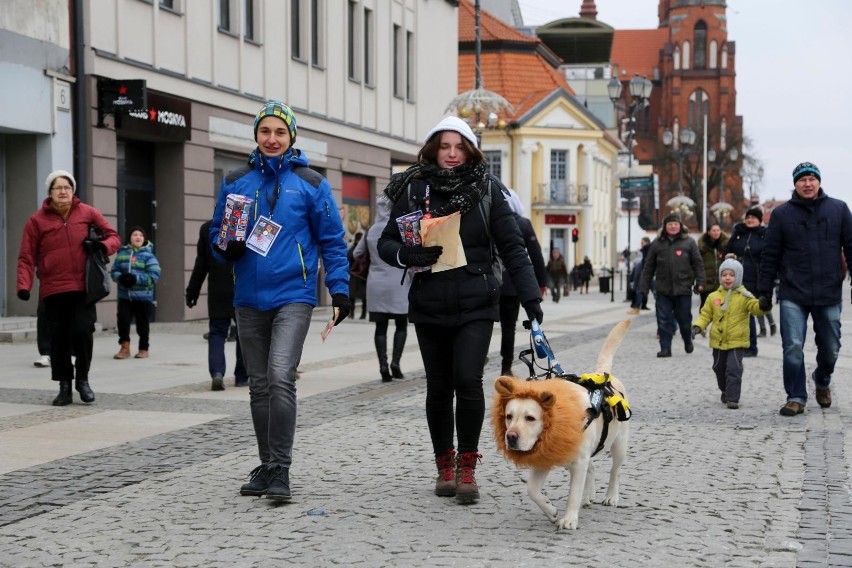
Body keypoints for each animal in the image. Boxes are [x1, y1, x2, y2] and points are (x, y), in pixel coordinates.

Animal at [492, 320, 632, 528]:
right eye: (509, 416)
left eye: (530, 418)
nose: (510, 437)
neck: (556, 418)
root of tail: (601, 373)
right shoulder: (545, 456)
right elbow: (532, 490)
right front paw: (550, 510)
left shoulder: (576, 461)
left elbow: (573, 493)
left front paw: (569, 520)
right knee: (592, 467)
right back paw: (588, 496)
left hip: (619, 444)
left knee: (615, 471)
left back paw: (611, 496)